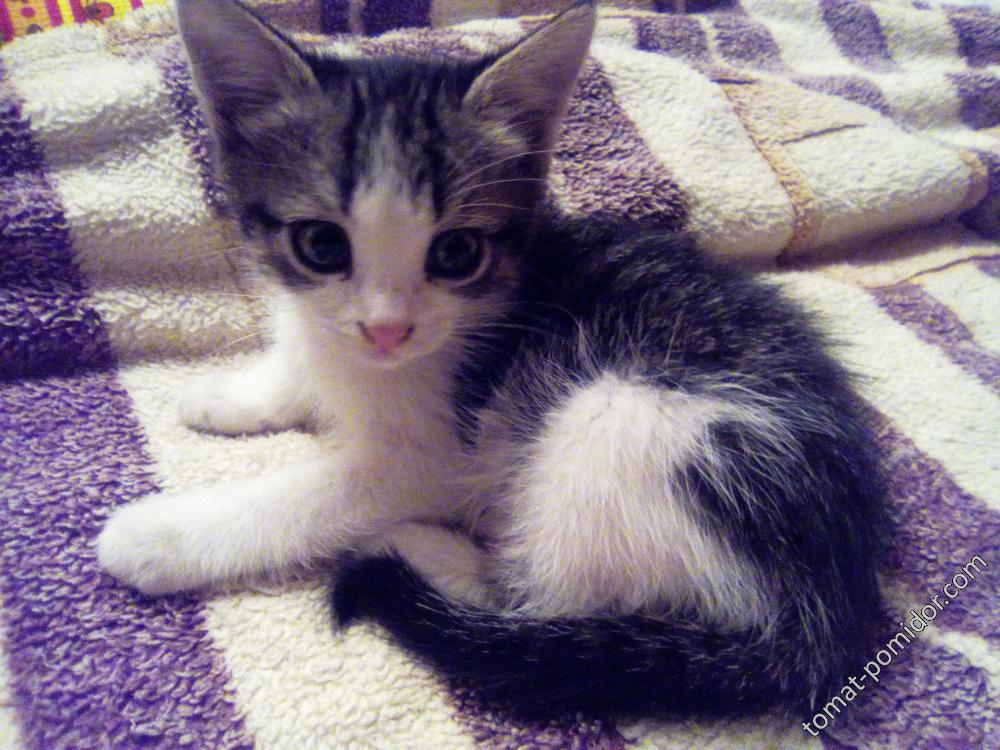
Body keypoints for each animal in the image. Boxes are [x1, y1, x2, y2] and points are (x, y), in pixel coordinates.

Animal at [97, 0, 886, 721]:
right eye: (321, 245)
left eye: (456, 253)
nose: (387, 329)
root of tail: (829, 605)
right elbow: (303, 360)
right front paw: (230, 395)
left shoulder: (440, 454)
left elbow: (312, 495)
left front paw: (160, 535)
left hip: (621, 417)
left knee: (541, 599)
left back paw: (422, 549)